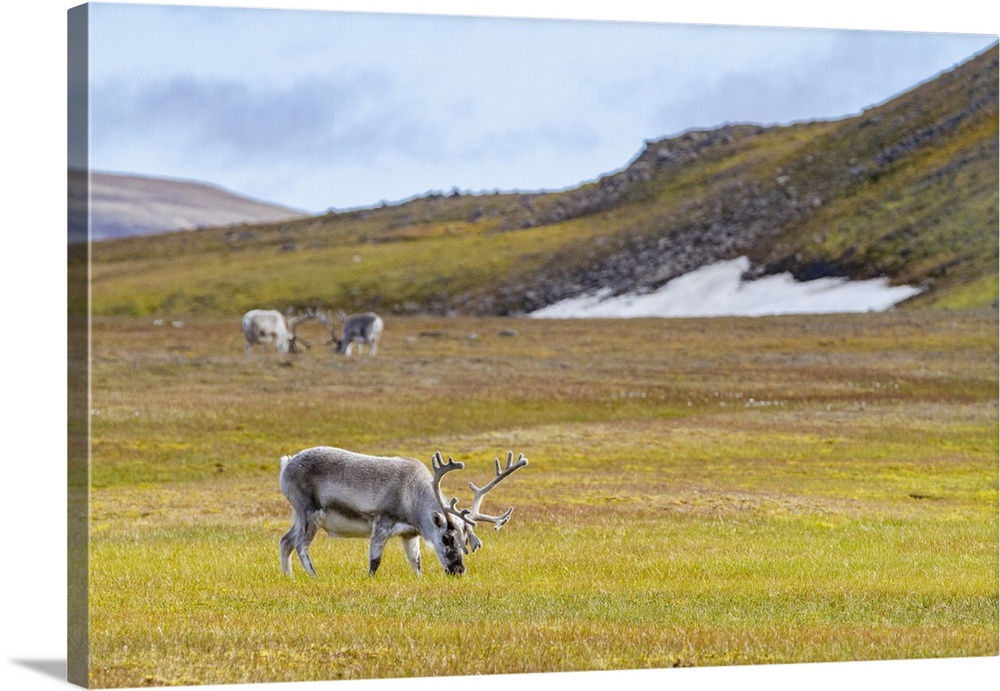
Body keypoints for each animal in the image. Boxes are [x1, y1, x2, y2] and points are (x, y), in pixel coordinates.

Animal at [278, 447, 528, 577]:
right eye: (447, 538)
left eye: (465, 540)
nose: (458, 570)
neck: (413, 496)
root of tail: (286, 464)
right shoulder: (382, 524)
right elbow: (374, 562)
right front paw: (370, 580)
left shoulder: (409, 535)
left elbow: (416, 563)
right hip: (309, 513)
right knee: (300, 545)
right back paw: (314, 575)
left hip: (298, 516)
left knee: (285, 541)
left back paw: (289, 576)